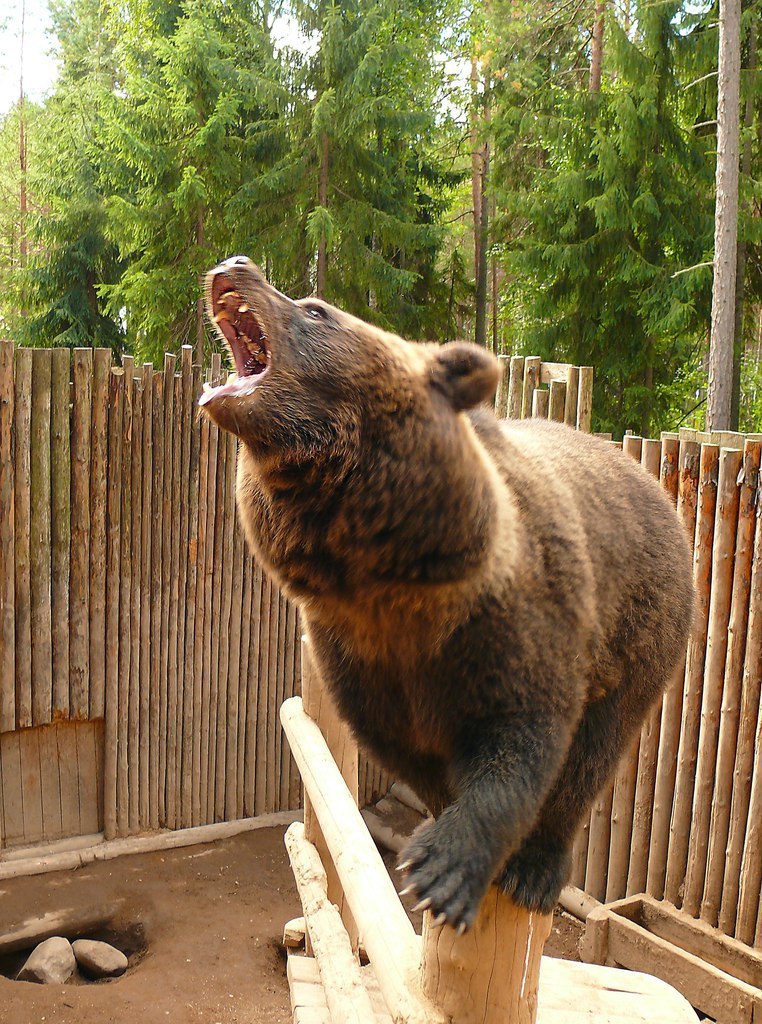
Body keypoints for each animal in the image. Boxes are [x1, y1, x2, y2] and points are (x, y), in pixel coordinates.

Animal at [199, 258, 692, 937]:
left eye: (316, 308)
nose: (234, 266)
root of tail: (653, 482)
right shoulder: (359, 650)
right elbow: (406, 750)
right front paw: (433, 832)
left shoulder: (519, 617)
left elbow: (524, 738)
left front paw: (450, 871)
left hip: (642, 630)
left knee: (596, 753)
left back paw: (539, 867)